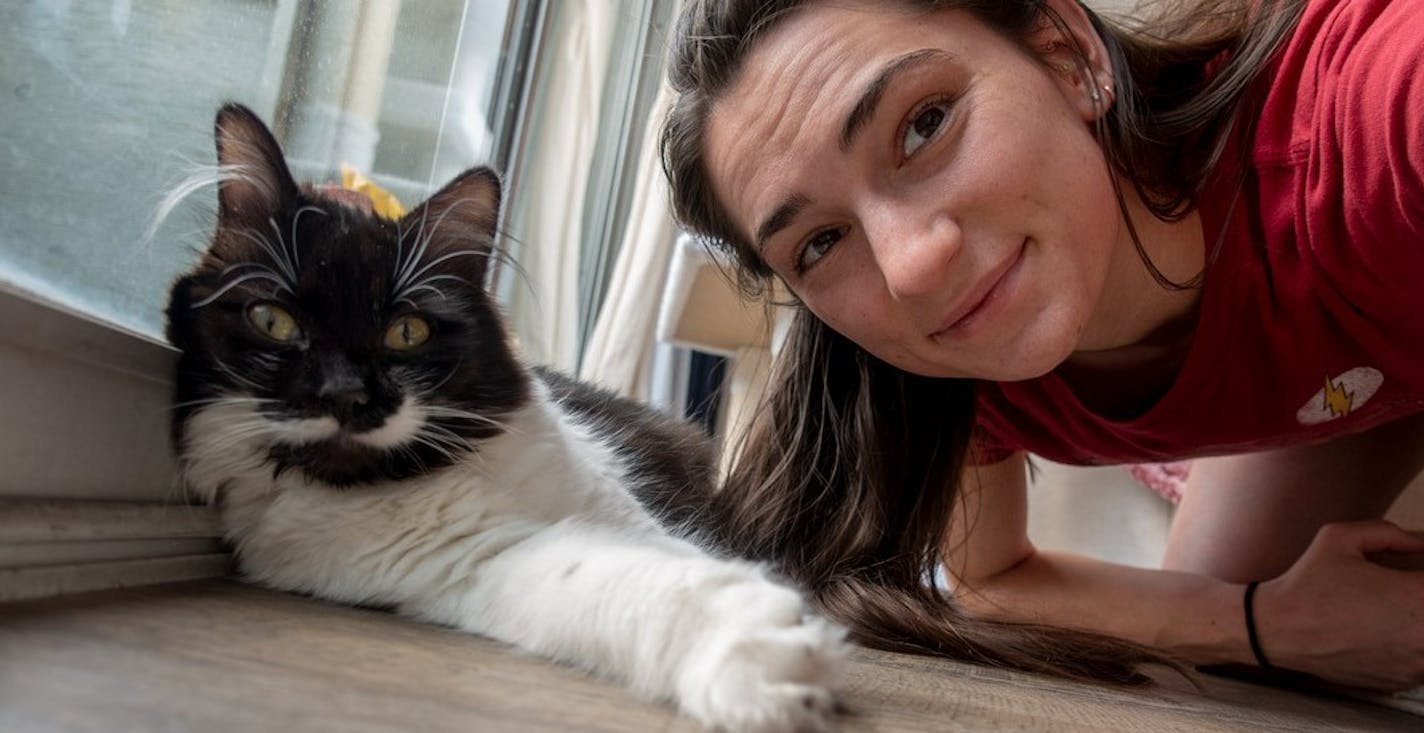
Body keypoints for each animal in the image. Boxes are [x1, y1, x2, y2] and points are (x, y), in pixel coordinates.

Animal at [163, 104, 843, 733]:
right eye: (273, 321)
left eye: (406, 331)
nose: (345, 395)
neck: (438, 468)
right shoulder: (478, 560)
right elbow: (633, 583)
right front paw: (764, 658)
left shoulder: (618, 508)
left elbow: (679, 562)